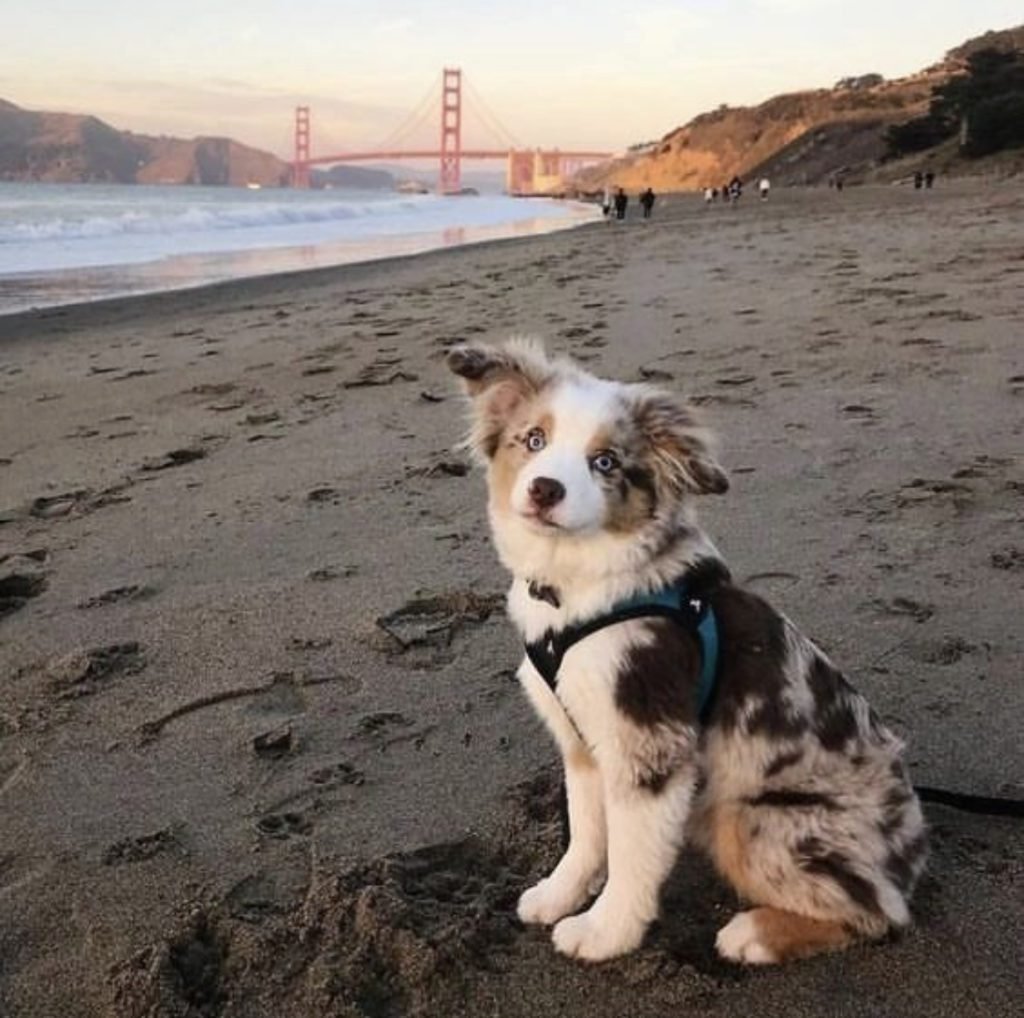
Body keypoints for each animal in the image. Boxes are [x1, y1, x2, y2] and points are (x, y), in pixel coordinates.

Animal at [450, 340, 929, 958]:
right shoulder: (582, 739)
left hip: (752, 819)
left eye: (605, 462)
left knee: (878, 913)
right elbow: (586, 831)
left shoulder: (650, 743)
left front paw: (602, 933)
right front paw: (557, 894)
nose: (544, 489)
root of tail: (911, 856)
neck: (579, 586)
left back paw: (753, 934)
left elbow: (631, 854)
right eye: (533, 439)